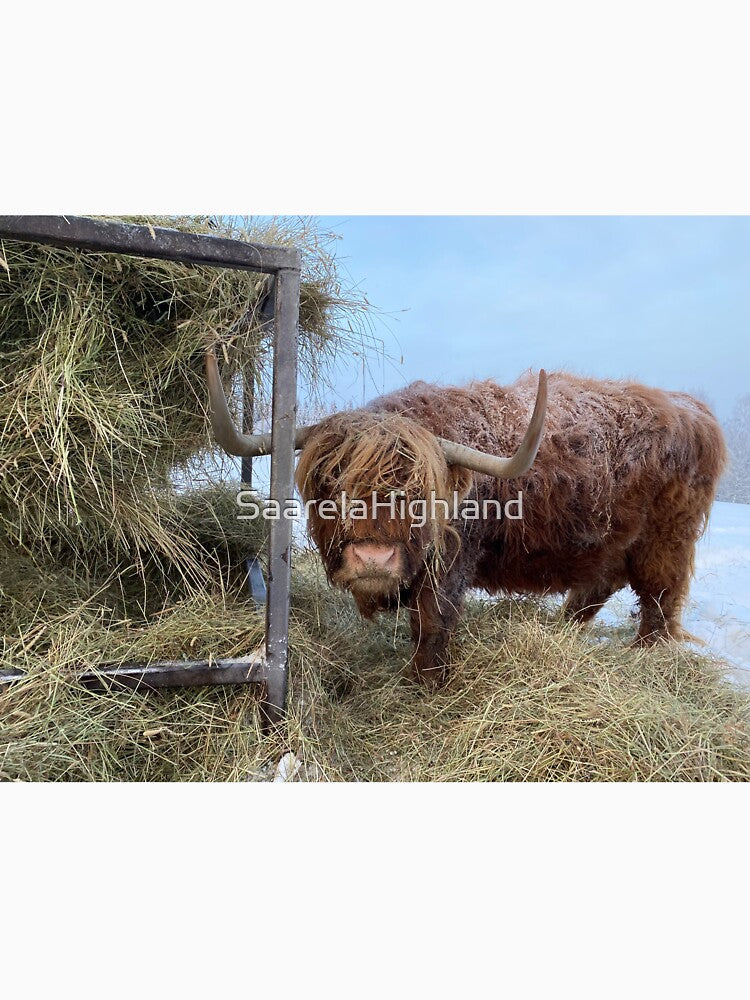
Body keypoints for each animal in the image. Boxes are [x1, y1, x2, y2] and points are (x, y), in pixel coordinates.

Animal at [206, 353, 728, 687]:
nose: (373, 558)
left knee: (659, 600)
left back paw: (644, 657)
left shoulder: (450, 566)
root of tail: (692, 410)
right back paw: (564, 628)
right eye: (333, 481)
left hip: (665, 541)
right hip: (612, 544)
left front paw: (426, 684)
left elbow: (432, 624)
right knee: (601, 584)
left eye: (420, 492)